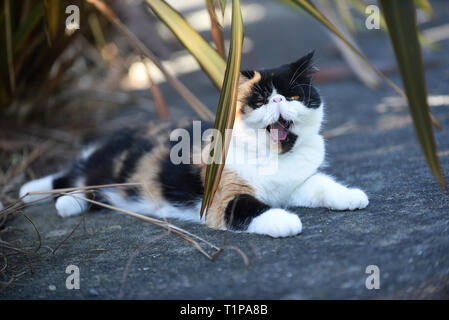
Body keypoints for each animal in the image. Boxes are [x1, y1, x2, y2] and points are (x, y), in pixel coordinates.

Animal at [18, 51, 368, 238]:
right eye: (258, 101)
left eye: (293, 95)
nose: (278, 99)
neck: (275, 159)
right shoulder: (222, 196)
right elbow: (248, 208)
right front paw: (284, 220)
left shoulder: (299, 182)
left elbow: (322, 184)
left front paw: (350, 196)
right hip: (105, 168)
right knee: (70, 177)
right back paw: (34, 193)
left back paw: (66, 203)